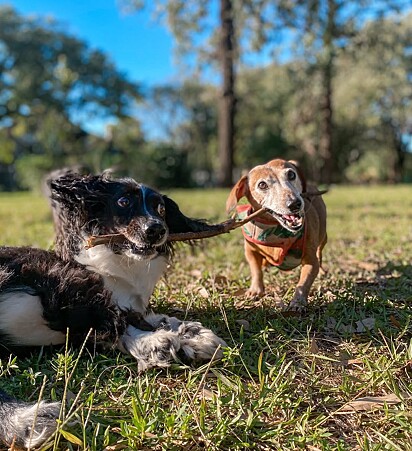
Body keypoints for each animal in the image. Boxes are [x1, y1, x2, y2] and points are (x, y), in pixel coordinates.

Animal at [0, 172, 225, 448]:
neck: (119, 268)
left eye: (161, 208)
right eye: (123, 202)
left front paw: (191, 334)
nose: (156, 229)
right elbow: (116, 322)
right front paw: (155, 343)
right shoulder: (66, 287)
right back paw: (24, 421)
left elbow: (145, 317)